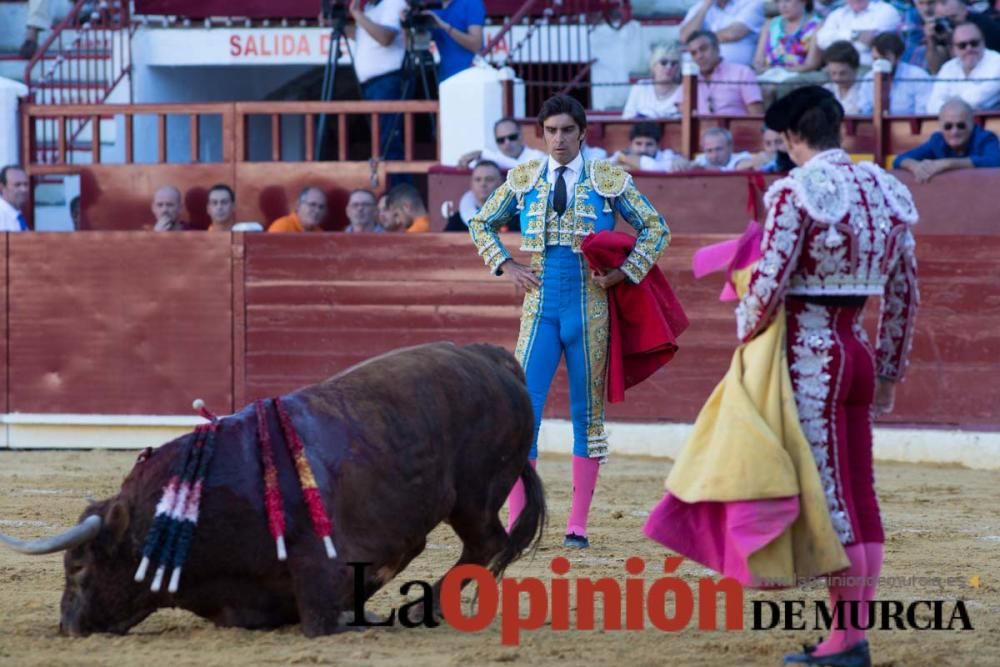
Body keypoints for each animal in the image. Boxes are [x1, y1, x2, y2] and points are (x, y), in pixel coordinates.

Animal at [0, 344, 544, 636]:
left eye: (78, 565)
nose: (67, 623)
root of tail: (493, 357)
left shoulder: (320, 579)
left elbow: (322, 618)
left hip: (474, 496)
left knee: (486, 544)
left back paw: (420, 608)